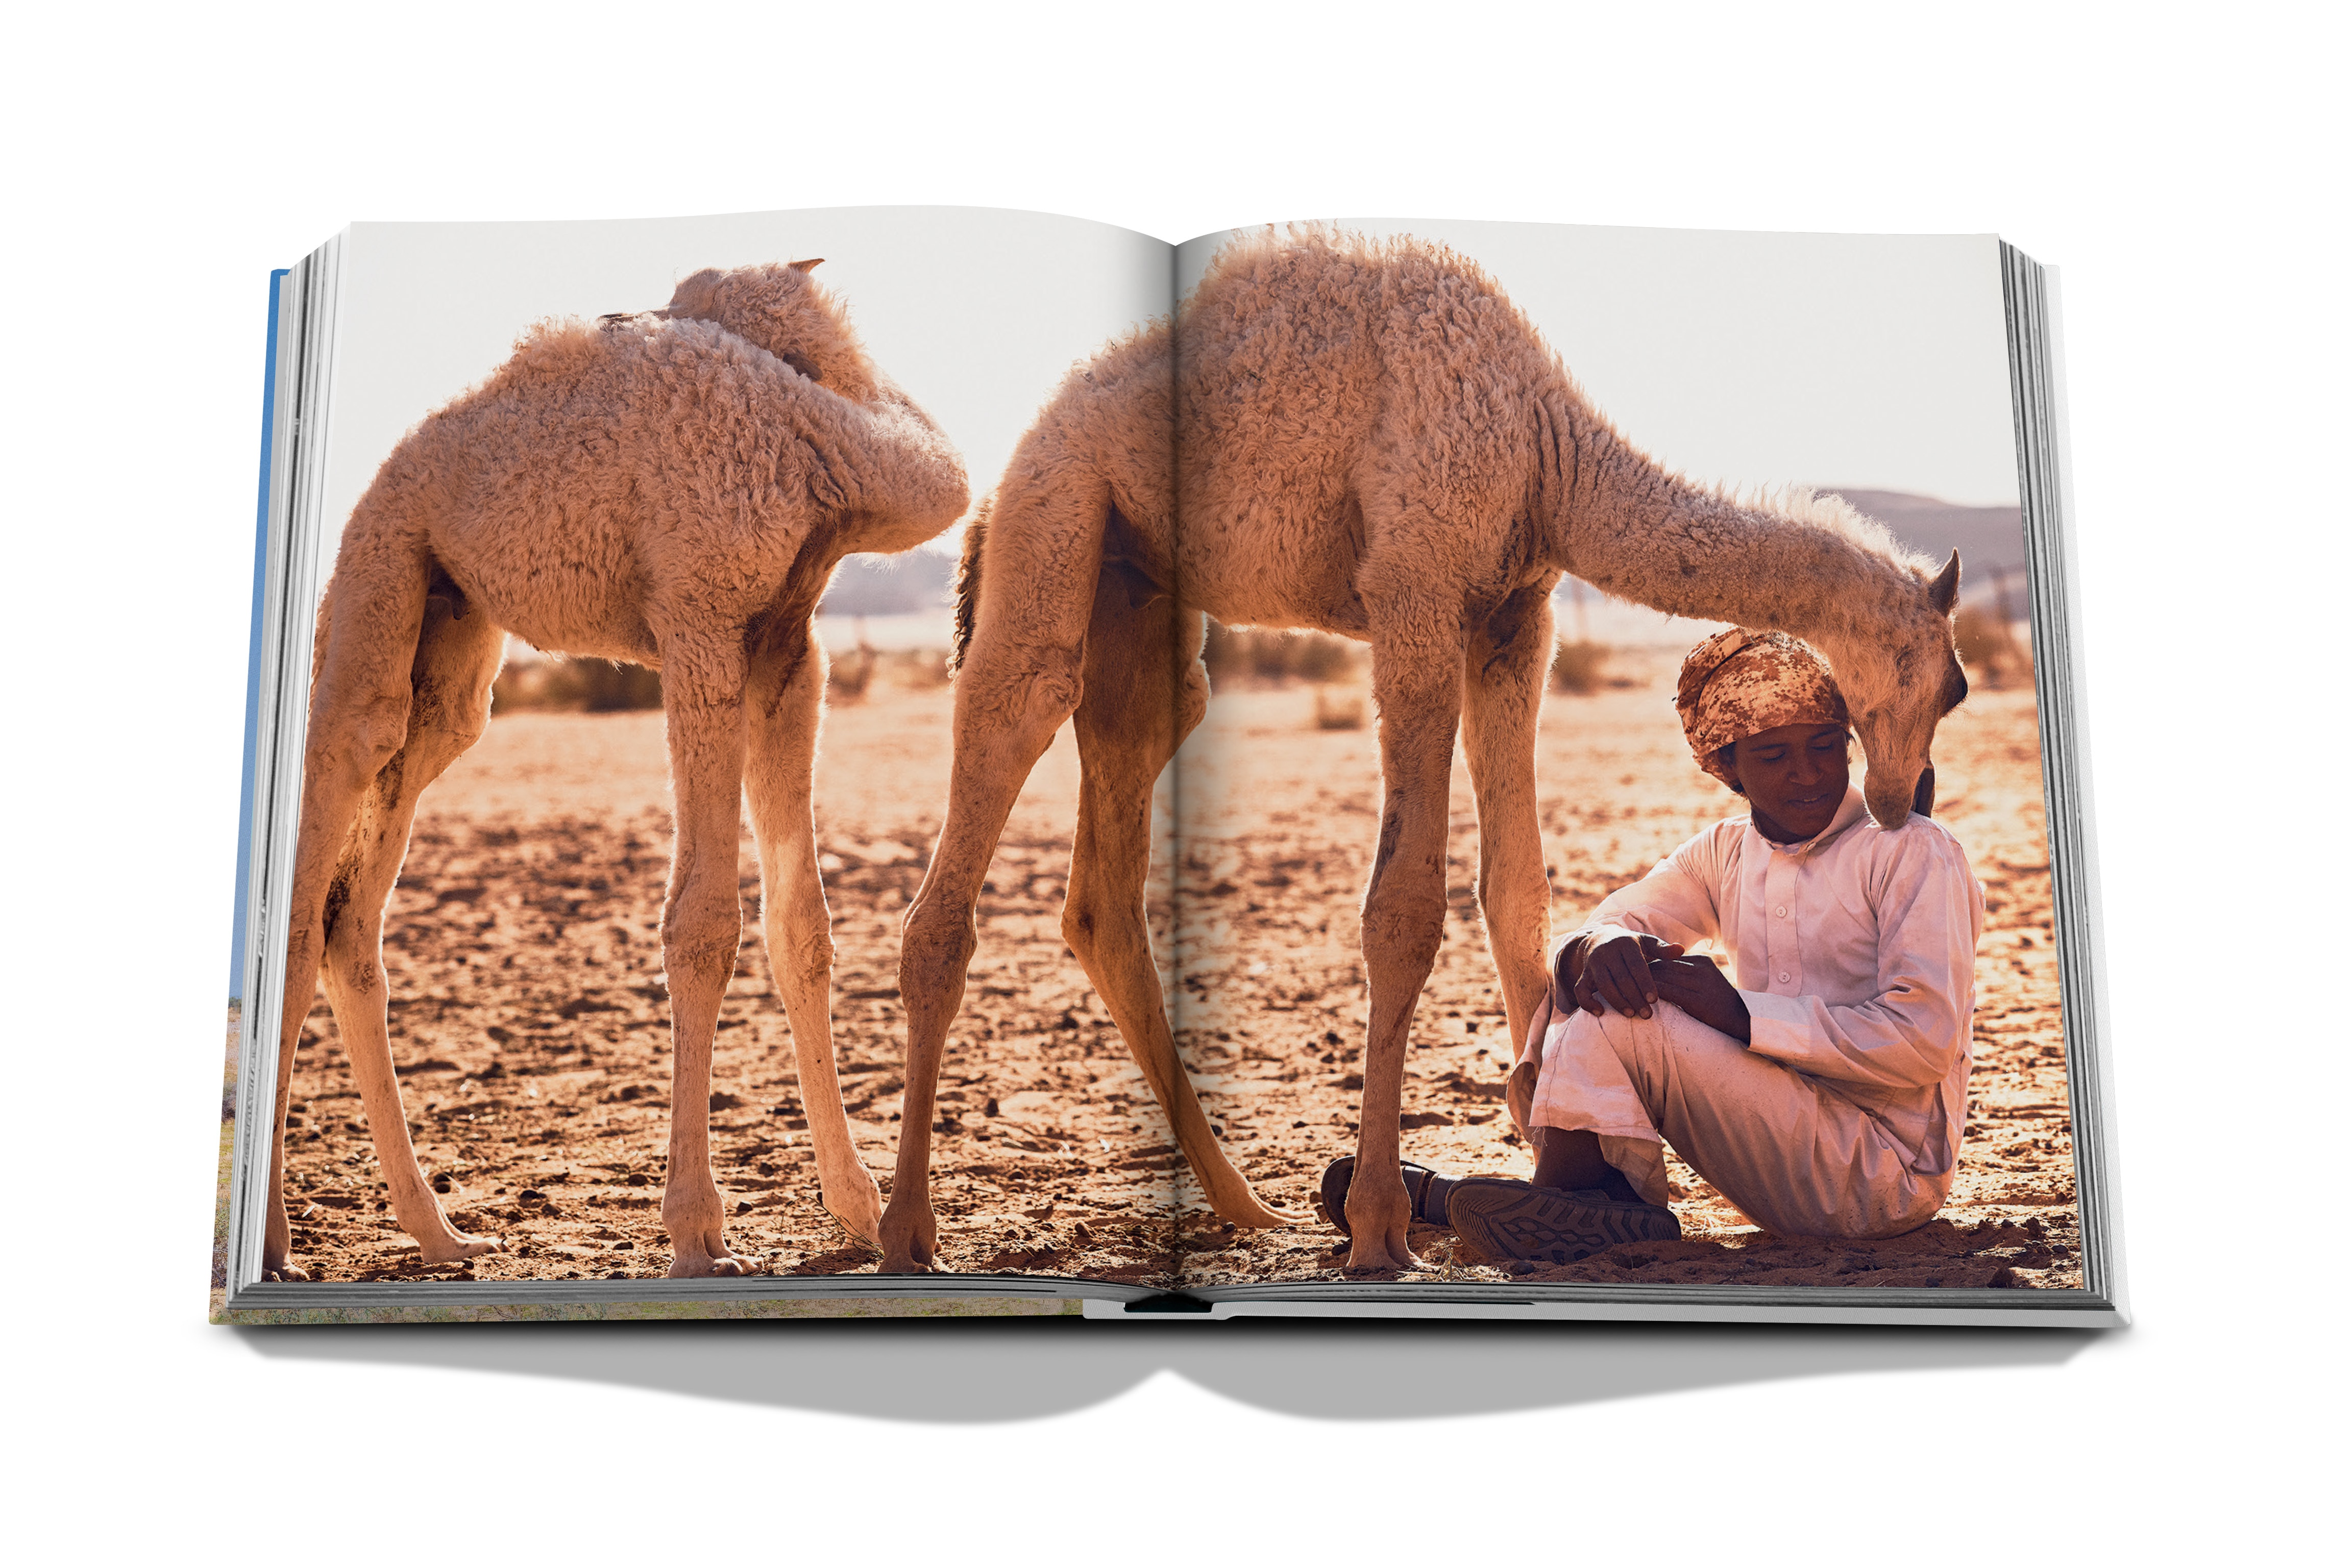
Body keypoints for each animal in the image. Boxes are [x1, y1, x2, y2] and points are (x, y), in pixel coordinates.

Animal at [264, 260, 968, 1282]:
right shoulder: (700, 617)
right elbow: (702, 925)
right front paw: (698, 1231)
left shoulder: (789, 647)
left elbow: (801, 925)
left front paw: (861, 1208)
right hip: (376, 578)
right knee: (327, 820)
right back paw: (274, 1239)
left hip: (452, 655)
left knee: (350, 913)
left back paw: (439, 1230)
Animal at [879, 228, 1964, 1274]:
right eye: (1952, 685)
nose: (1912, 793)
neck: (1544, 452)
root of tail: (1010, 468)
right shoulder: (1415, 593)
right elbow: (1402, 910)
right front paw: (1375, 1225)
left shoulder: (1512, 616)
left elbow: (1515, 887)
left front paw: (1541, 1140)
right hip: (1056, 517)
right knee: (1001, 749)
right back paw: (905, 1229)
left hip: (1139, 599)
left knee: (1109, 866)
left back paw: (1243, 1204)